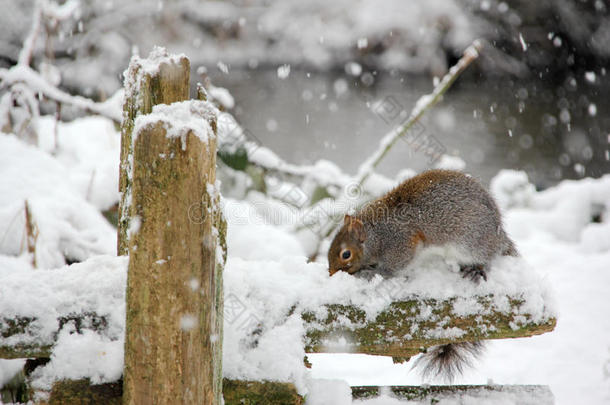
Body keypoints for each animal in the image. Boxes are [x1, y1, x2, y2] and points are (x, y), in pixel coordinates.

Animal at [326, 169, 516, 380]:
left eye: (346, 254)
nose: (331, 273)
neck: (378, 235)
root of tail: (499, 235)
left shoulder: (401, 244)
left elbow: (393, 269)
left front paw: (371, 273)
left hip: (472, 242)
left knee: (486, 257)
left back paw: (476, 269)